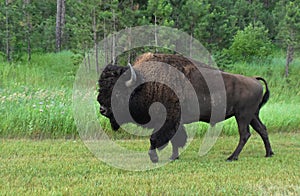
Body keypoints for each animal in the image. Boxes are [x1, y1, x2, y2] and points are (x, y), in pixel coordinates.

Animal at [98, 52, 274, 163]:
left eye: (117, 91)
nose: (102, 109)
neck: (145, 84)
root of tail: (254, 80)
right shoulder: (176, 122)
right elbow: (176, 140)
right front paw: (173, 157)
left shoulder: (167, 120)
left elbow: (156, 138)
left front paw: (154, 158)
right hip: (252, 115)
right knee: (262, 129)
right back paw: (269, 154)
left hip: (242, 116)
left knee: (245, 134)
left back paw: (232, 157)